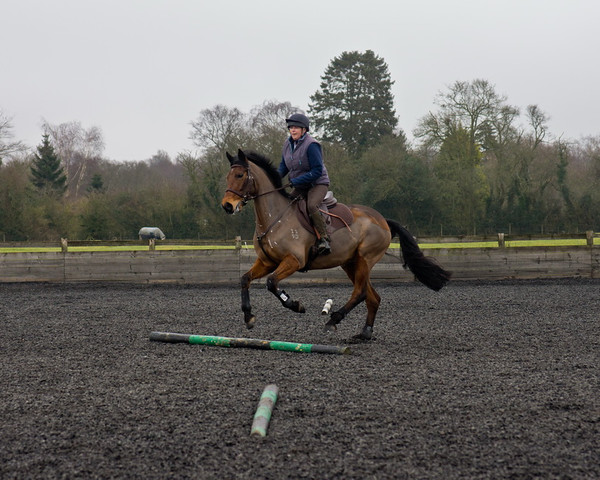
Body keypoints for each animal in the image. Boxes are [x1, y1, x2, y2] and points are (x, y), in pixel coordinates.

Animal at [221, 148, 450, 340]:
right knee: (372, 297)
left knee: (360, 293)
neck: (274, 217)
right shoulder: (267, 262)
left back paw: (333, 320)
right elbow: (245, 279)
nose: (227, 206)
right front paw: (249, 316)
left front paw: (295, 305)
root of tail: (382, 220)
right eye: (228, 176)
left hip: (365, 259)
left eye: (240, 175)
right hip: (350, 263)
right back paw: (365, 333)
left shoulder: (293, 261)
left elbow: (271, 283)